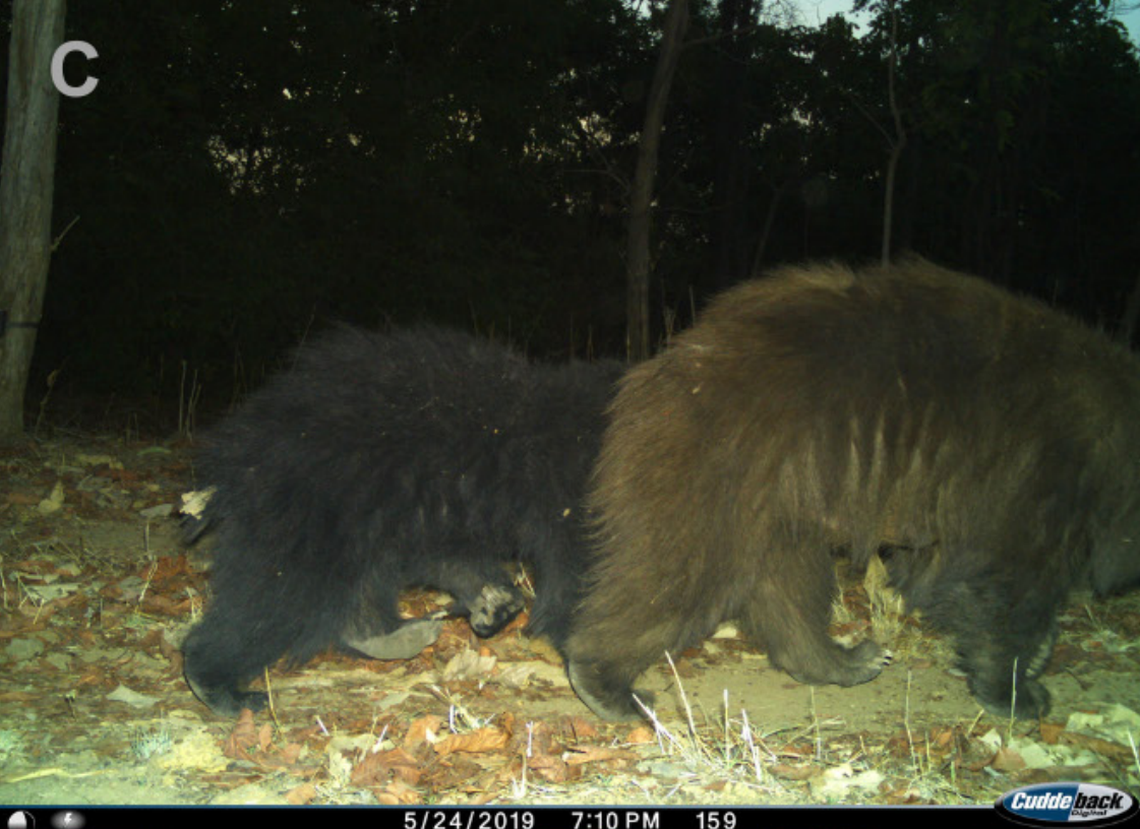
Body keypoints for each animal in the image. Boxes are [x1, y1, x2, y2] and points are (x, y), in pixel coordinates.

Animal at [565, 257, 1140, 721]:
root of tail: (670, 366)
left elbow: (941, 578)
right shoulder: (1035, 471)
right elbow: (1009, 584)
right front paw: (1019, 690)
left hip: (784, 498)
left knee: (785, 585)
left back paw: (845, 660)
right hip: (724, 468)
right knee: (678, 573)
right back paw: (606, 684)